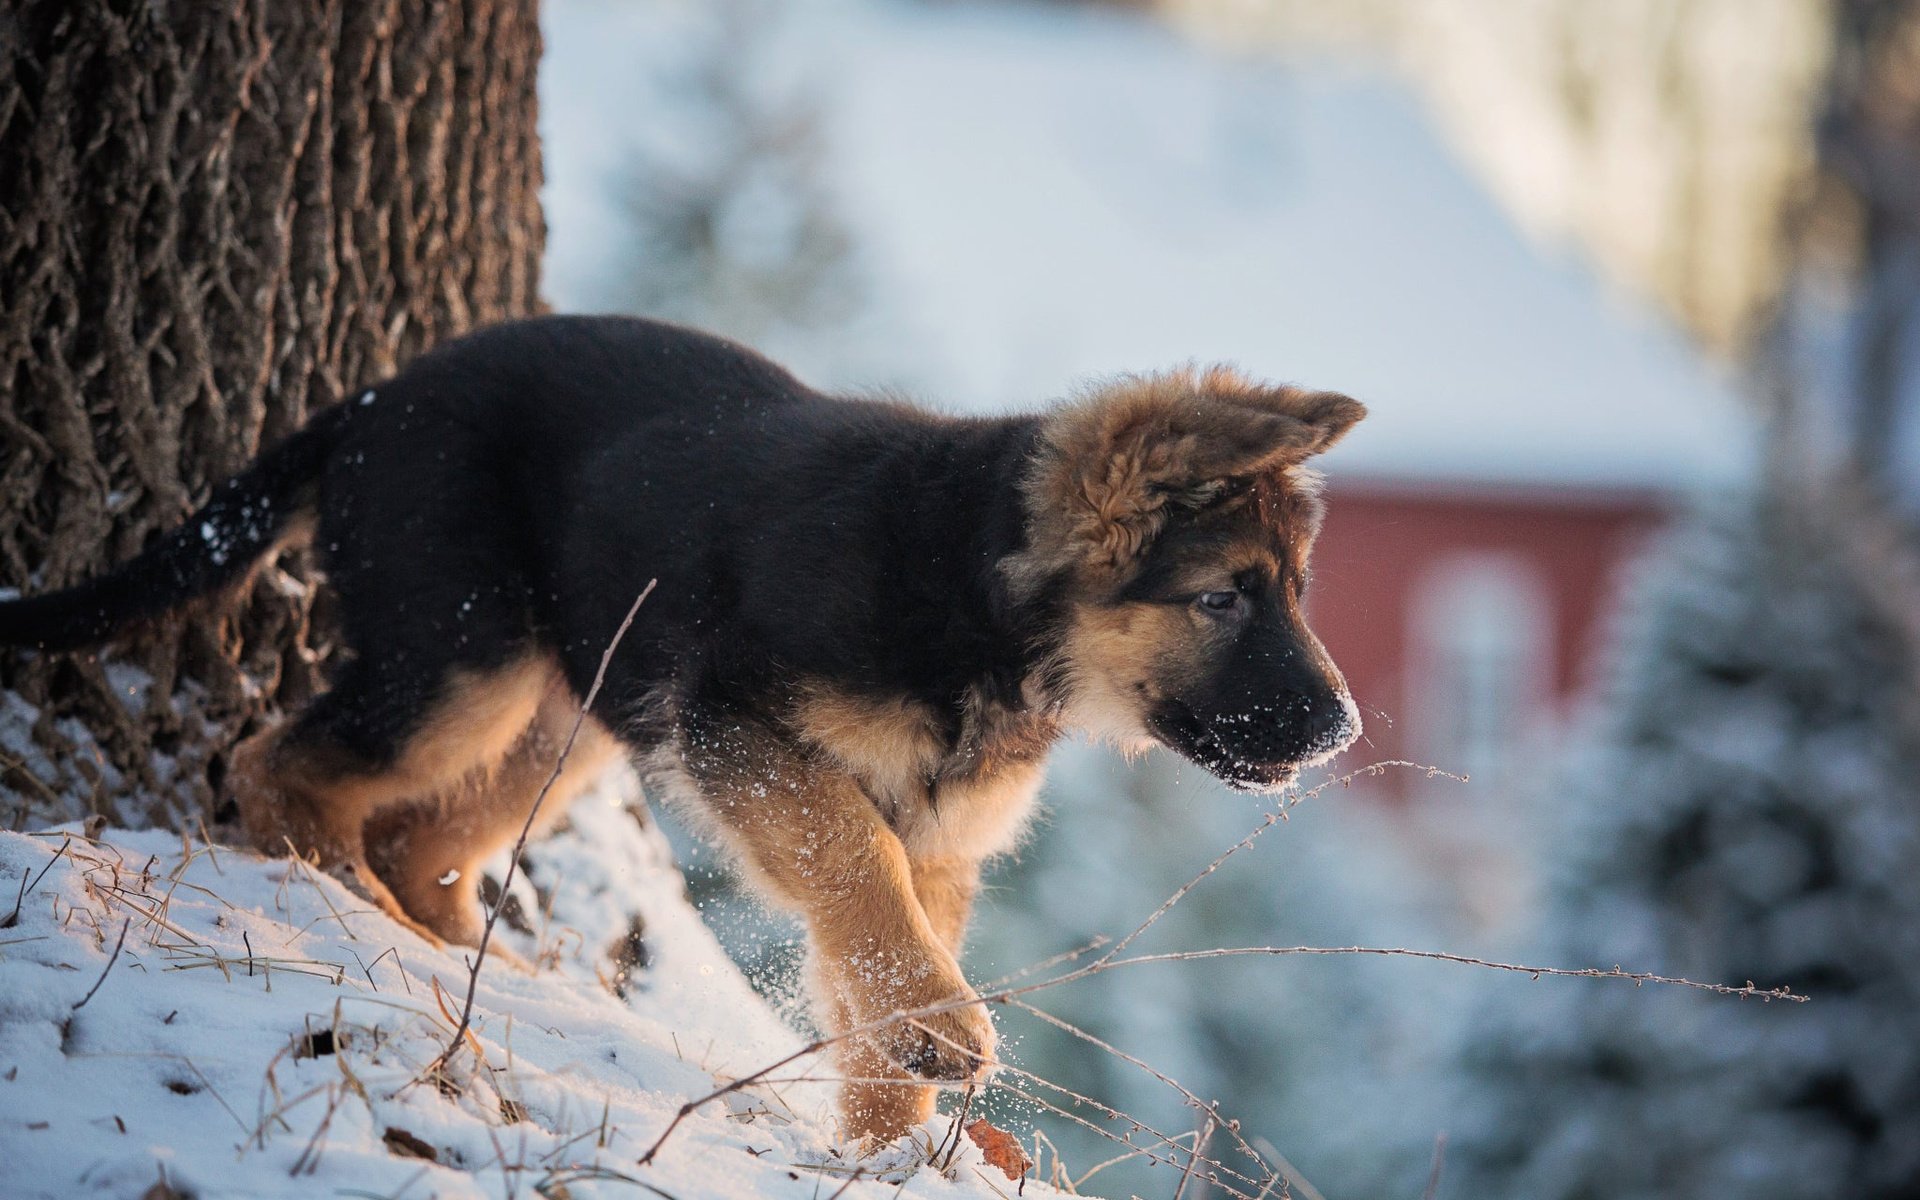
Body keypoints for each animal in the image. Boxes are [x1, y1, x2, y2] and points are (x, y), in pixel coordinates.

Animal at [0, 312, 1367, 1136]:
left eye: (1299, 590)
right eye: (1223, 597)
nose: (1342, 736)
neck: (974, 596)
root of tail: (375, 396)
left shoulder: (935, 835)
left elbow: (875, 953)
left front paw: (884, 1139)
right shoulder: (740, 725)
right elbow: (857, 871)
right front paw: (941, 1031)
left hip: (573, 716)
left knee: (424, 838)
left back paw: (460, 958)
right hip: (466, 663)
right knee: (281, 765)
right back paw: (345, 911)